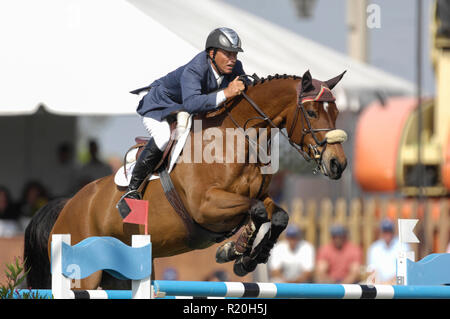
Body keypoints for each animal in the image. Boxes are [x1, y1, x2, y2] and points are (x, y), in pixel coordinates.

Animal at [24, 71, 348, 292]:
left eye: (336, 112)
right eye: (311, 112)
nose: (338, 164)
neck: (235, 141)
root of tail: (67, 206)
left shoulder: (259, 198)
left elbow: (278, 215)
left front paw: (245, 256)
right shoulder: (206, 206)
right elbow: (255, 211)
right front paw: (236, 252)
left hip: (120, 276)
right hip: (84, 278)